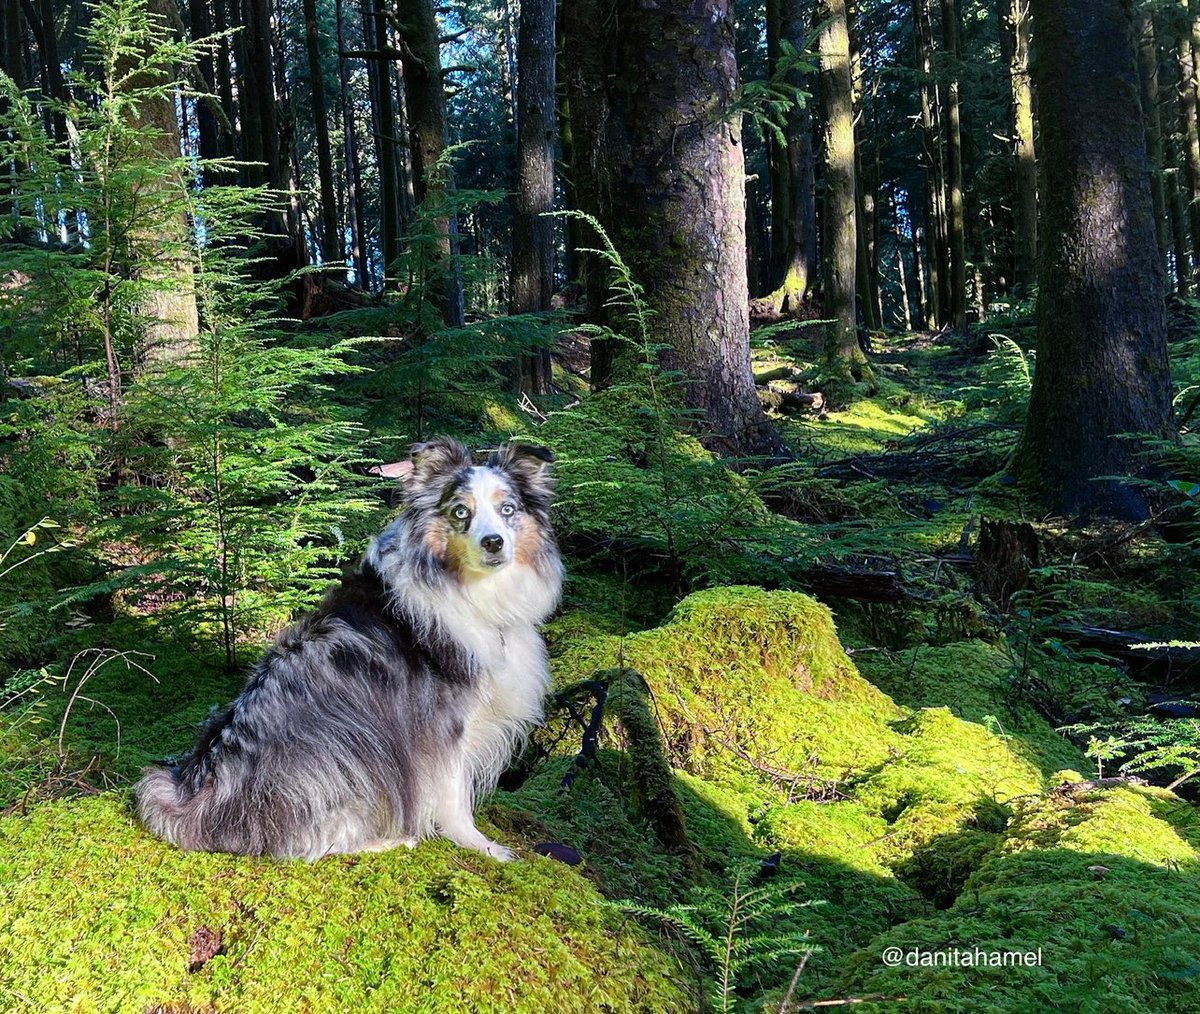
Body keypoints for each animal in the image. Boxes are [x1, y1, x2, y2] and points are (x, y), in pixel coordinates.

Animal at [133, 439, 564, 859]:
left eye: (508, 509)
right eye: (461, 512)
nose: (494, 543)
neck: (469, 587)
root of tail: (200, 801)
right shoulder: (445, 722)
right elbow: (455, 796)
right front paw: (482, 845)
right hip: (346, 762)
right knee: (306, 844)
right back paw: (386, 840)